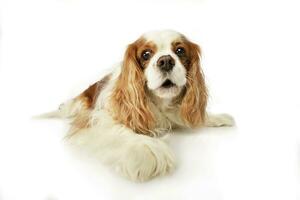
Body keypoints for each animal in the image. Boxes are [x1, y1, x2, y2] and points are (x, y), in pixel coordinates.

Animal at [41, 29, 234, 181]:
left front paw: (215, 117)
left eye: (180, 51)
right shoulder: (96, 118)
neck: (159, 103)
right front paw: (146, 147)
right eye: (146, 54)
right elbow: (119, 130)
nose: (166, 61)